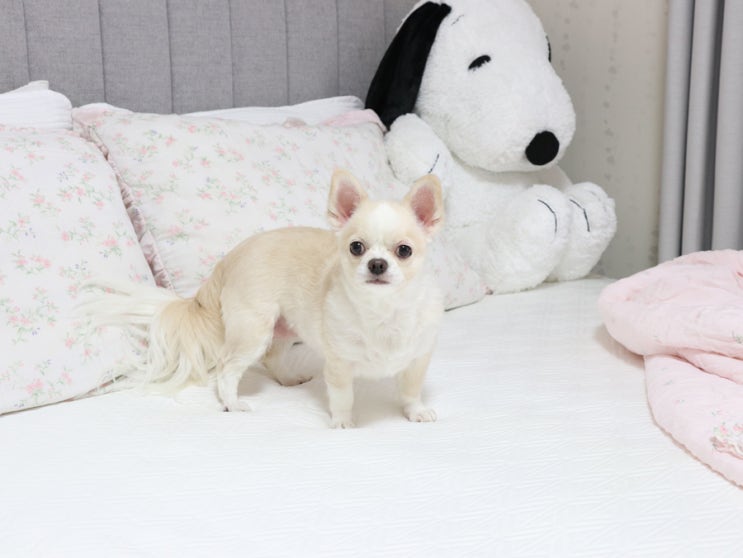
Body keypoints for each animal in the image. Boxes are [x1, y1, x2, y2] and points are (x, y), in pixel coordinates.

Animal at [84, 169, 445, 428]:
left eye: (404, 251)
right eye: (356, 247)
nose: (377, 264)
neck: (383, 310)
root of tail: (231, 258)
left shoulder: (417, 358)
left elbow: (410, 391)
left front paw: (415, 412)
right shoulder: (339, 364)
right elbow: (343, 397)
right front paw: (343, 422)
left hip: (284, 327)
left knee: (272, 357)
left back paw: (288, 379)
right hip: (252, 330)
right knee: (227, 368)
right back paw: (232, 403)